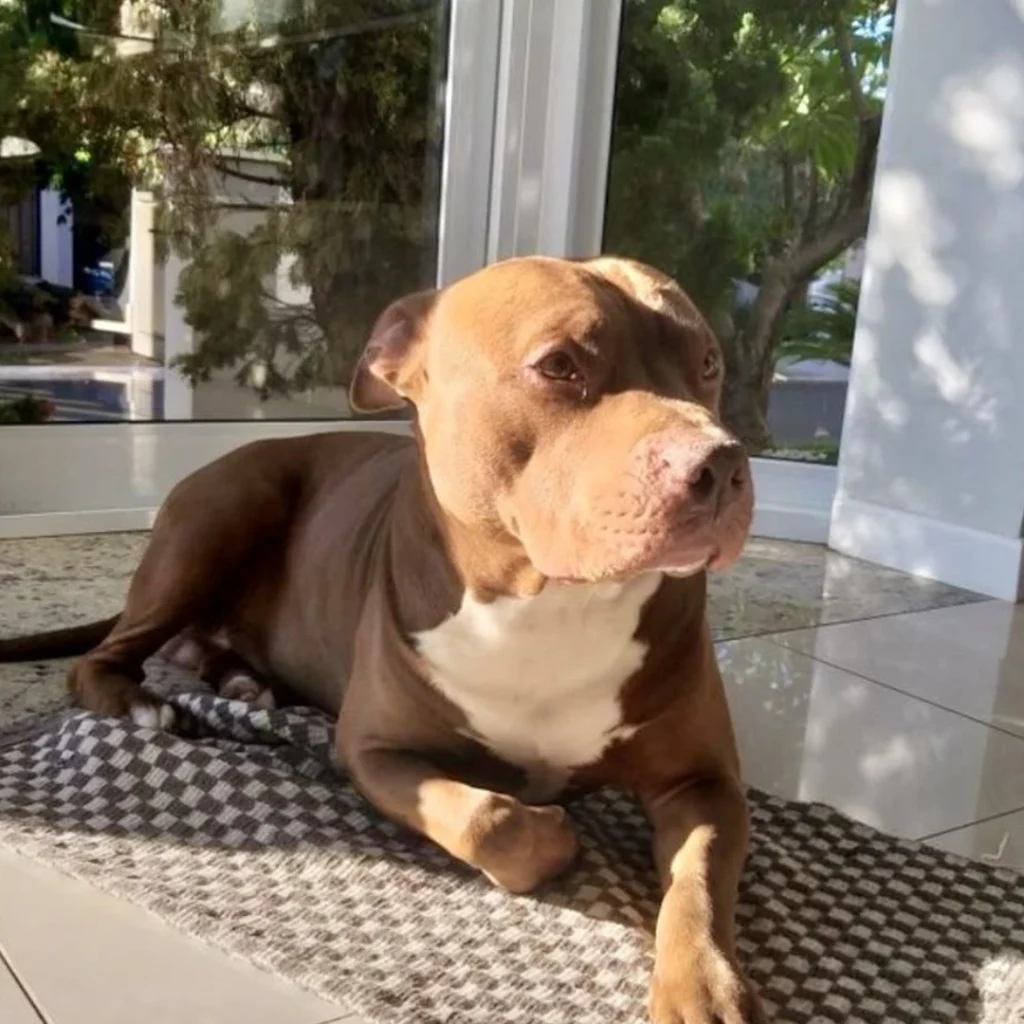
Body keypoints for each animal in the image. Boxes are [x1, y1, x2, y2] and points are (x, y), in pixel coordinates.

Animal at [0, 255, 762, 1023]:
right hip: (224, 510)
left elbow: (698, 884)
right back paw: (144, 703)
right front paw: (547, 835)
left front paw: (702, 986)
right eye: (559, 365)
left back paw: (244, 681)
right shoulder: (375, 749)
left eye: (708, 363)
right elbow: (488, 820)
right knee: (100, 657)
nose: (723, 464)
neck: (546, 603)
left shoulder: (705, 783)